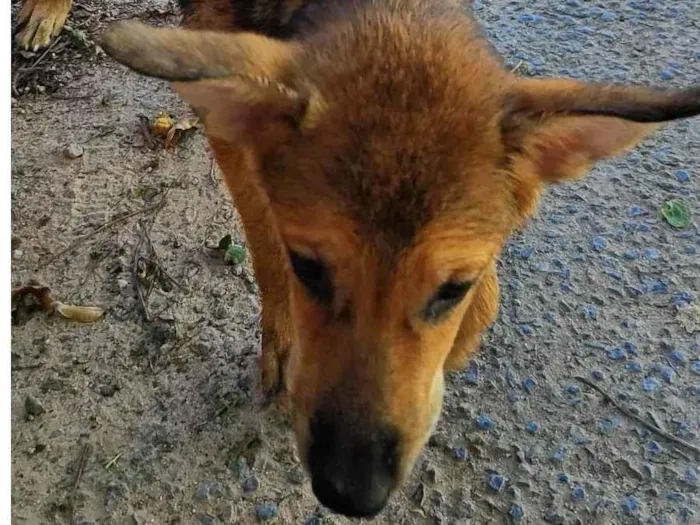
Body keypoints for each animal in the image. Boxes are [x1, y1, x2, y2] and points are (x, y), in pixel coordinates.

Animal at [100, 0, 700, 516]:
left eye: (453, 288)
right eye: (308, 269)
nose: (349, 490)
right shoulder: (225, 130)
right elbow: (265, 244)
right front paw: (282, 347)